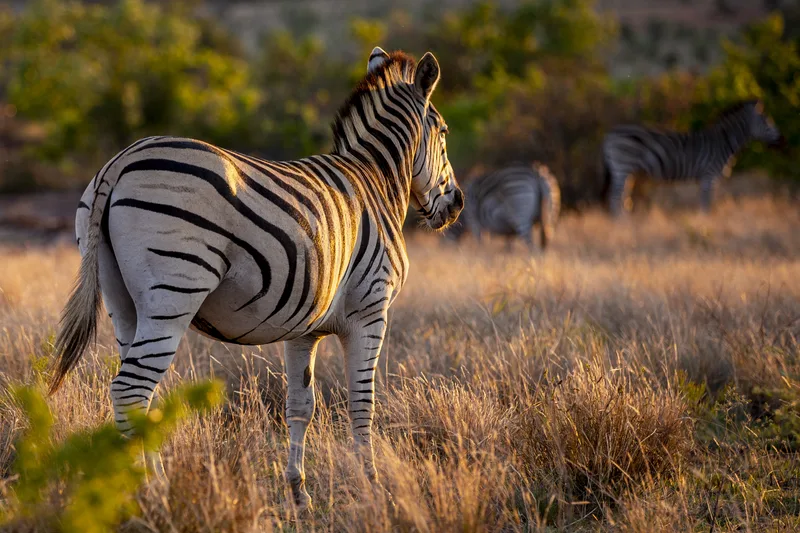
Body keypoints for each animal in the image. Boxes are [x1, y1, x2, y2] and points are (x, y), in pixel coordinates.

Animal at [48, 47, 463, 510]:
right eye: (444, 132)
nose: (458, 205)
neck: (376, 180)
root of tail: (119, 161)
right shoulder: (370, 311)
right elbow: (362, 404)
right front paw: (372, 489)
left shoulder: (305, 328)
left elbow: (301, 405)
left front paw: (299, 494)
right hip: (173, 291)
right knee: (131, 390)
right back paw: (152, 494)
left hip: (122, 301)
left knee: (139, 395)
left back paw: (137, 492)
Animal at [603, 99, 783, 215]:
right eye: (767, 122)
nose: (781, 141)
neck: (724, 142)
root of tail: (611, 133)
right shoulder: (709, 176)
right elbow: (706, 204)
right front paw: (706, 224)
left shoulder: (709, 179)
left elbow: (707, 203)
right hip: (622, 165)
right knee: (614, 197)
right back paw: (621, 225)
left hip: (627, 171)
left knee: (623, 197)